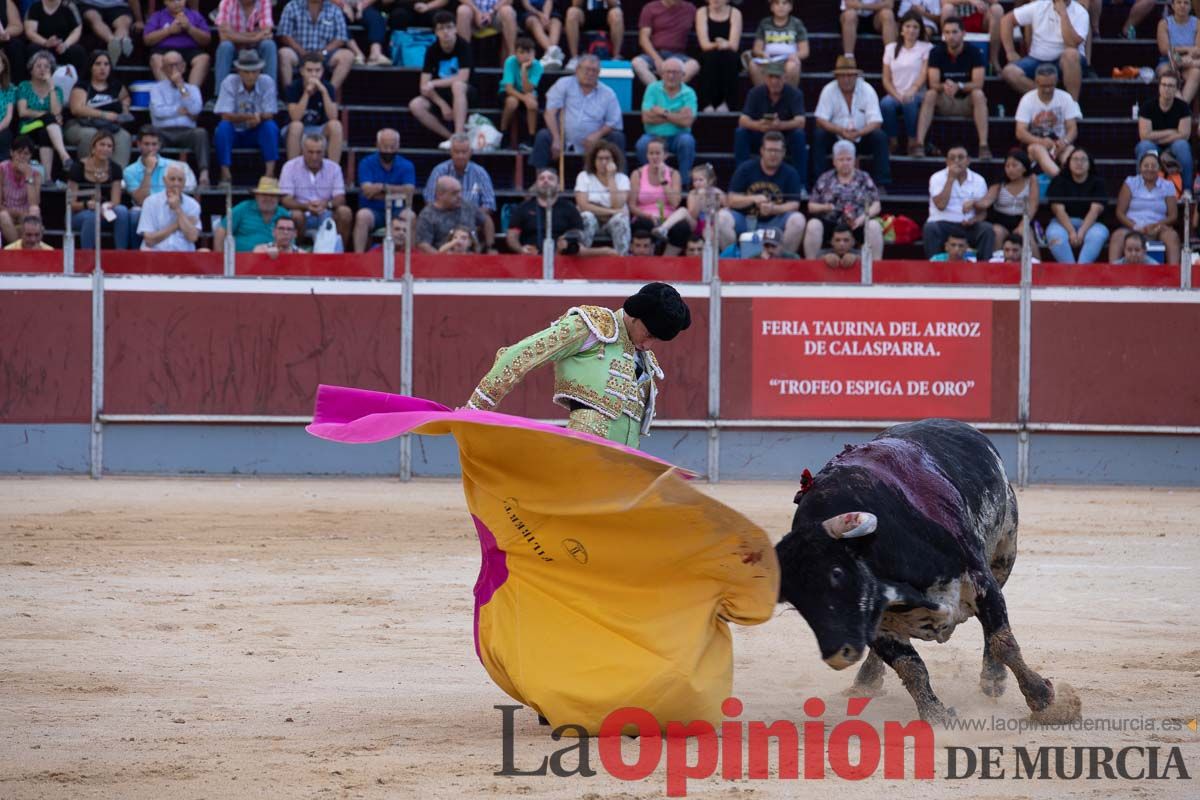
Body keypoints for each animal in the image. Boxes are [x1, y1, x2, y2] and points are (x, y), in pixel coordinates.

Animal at [772, 419, 1084, 724]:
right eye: (795, 601)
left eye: (836, 573)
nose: (838, 654)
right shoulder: (878, 626)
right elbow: (911, 668)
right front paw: (936, 716)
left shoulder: (983, 584)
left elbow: (1002, 642)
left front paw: (1046, 702)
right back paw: (866, 681)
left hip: (1004, 555)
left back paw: (993, 680)